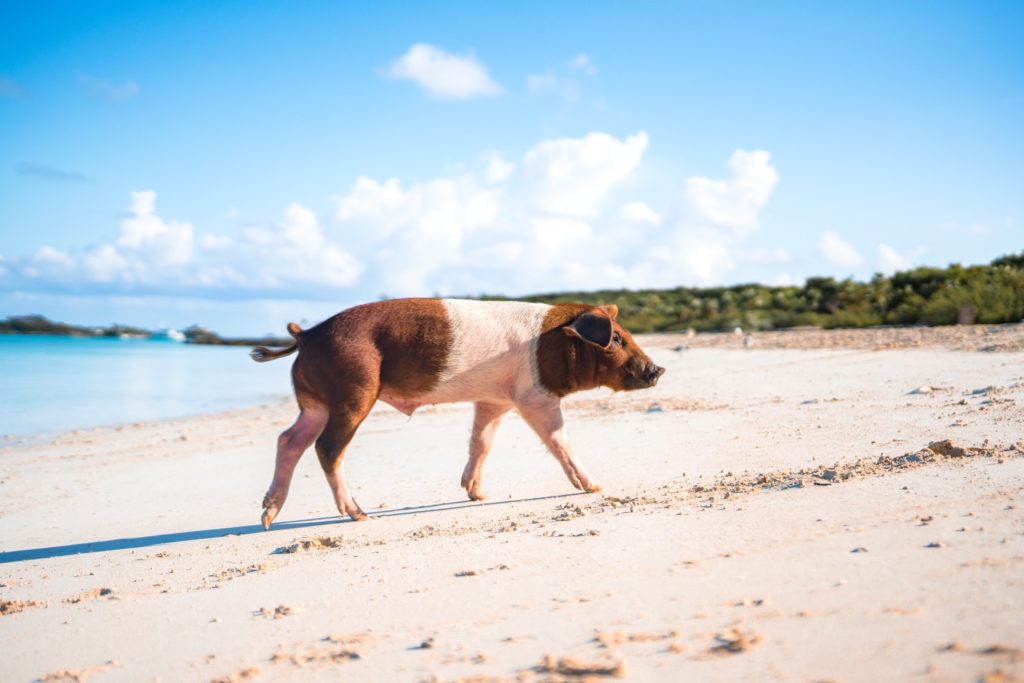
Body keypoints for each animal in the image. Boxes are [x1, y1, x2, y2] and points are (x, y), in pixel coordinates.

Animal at [247, 296, 663, 528]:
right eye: (615, 338)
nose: (657, 369)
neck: (555, 343)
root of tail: (306, 335)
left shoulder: (496, 399)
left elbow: (482, 440)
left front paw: (478, 495)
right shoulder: (533, 395)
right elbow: (559, 439)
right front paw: (595, 486)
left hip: (315, 402)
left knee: (290, 439)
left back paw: (268, 518)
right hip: (352, 393)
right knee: (328, 448)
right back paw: (361, 515)